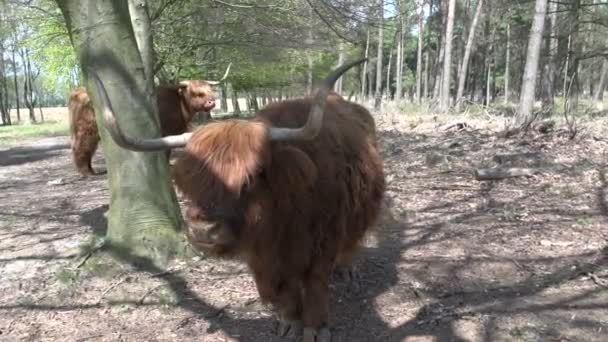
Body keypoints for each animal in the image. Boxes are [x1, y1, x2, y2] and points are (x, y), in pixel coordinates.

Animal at [67, 64, 230, 176]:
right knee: (81, 146)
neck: (180, 105)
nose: (212, 102)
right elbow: (166, 149)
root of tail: (77, 92)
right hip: (87, 128)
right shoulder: (166, 131)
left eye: (210, 90)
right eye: (197, 93)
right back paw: (86, 172)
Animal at [92, 58, 384, 342]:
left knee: (352, 242)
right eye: (187, 179)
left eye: (250, 178)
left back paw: (347, 269)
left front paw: (315, 328)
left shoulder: (323, 243)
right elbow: (285, 291)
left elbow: (315, 286)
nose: (203, 230)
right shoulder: (263, 258)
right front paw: (289, 323)